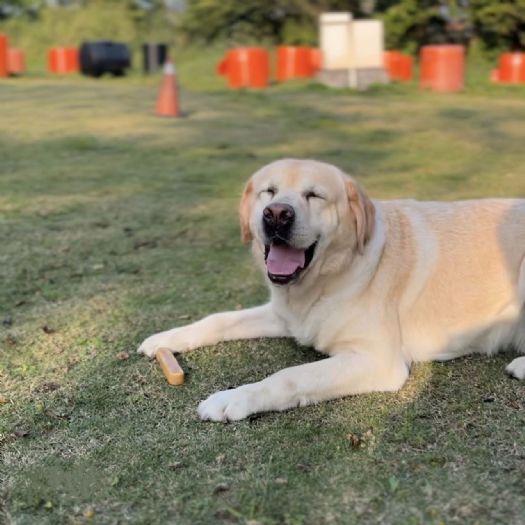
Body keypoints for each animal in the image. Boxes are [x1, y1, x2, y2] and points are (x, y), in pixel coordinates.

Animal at [137, 158, 520, 420]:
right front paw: (166, 338)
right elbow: (219, 319)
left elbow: (290, 377)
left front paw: (234, 397)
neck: (326, 279)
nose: (276, 214)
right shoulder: (286, 315)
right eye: (268, 191)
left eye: (314, 195)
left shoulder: (377, 360)